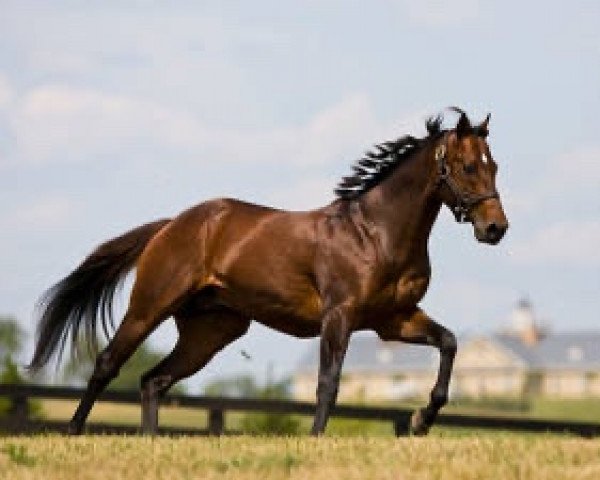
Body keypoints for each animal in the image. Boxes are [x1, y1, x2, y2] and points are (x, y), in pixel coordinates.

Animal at [27, 108, 506, 436]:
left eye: (494, 165)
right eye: (468, 166)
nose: (496, 228)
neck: (375, 233)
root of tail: (170, 225)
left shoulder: (394, 319)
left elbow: (448, 343)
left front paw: (421, 419)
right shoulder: (340, 316)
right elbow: (328, 382)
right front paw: (317, 439)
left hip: (212, 331)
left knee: (153, 380)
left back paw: (150, 442)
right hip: (150, 307)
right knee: (108, 363)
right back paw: (73, 432)